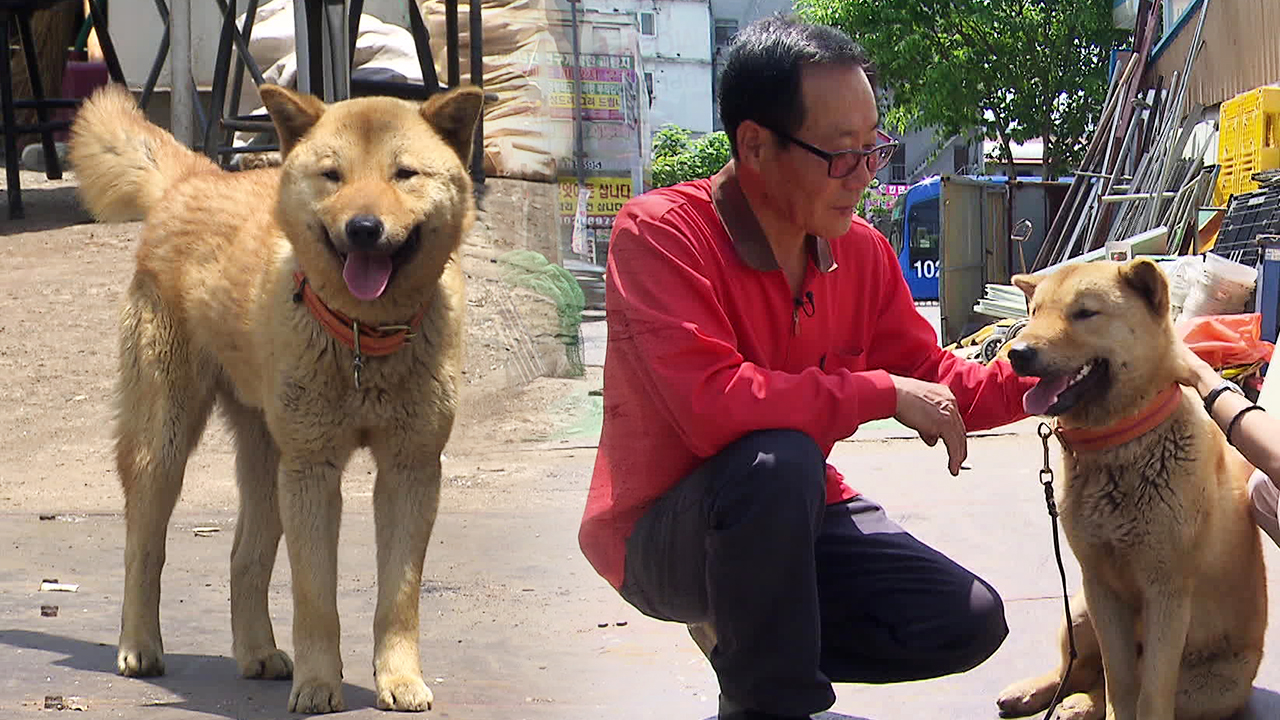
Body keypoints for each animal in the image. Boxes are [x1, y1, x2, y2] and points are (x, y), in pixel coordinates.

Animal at [68, 81, 483, 707]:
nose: (364, 228)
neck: (362, 336)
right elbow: (315, 599)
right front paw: (318, 686)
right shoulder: (312, 472)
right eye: (333, 175)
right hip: (165, 444)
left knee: (244, 557)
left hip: (267, 461)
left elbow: (399, 597)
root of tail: (199, 177)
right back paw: (139, 645)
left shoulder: (410, 471)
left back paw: (257, 652)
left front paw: (400, 679)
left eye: (404, 173)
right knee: (144, 547)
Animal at [993, 257, 1264, 717]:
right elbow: (1118, 680)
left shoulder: (1166, 594)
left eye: (1085, 313)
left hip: (1209, 687)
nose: (1017, 353)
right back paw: (1039, 692)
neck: (1118, 445)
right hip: (1078, 612)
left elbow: (1147, 692)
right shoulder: (1100, 587)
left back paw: (1077, 705)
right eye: (1035, 312)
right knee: (1078, 670)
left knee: (1107, 683)